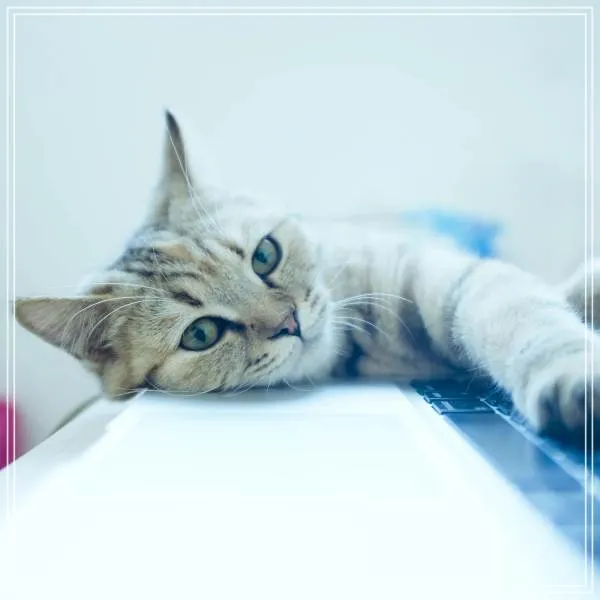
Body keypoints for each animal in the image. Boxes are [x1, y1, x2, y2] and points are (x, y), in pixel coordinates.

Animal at [14, 112, 599, 445]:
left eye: (264, 256)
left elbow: (525, 313)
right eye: (201, 334)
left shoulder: (448, 274)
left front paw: (570, 365)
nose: (289, 321)